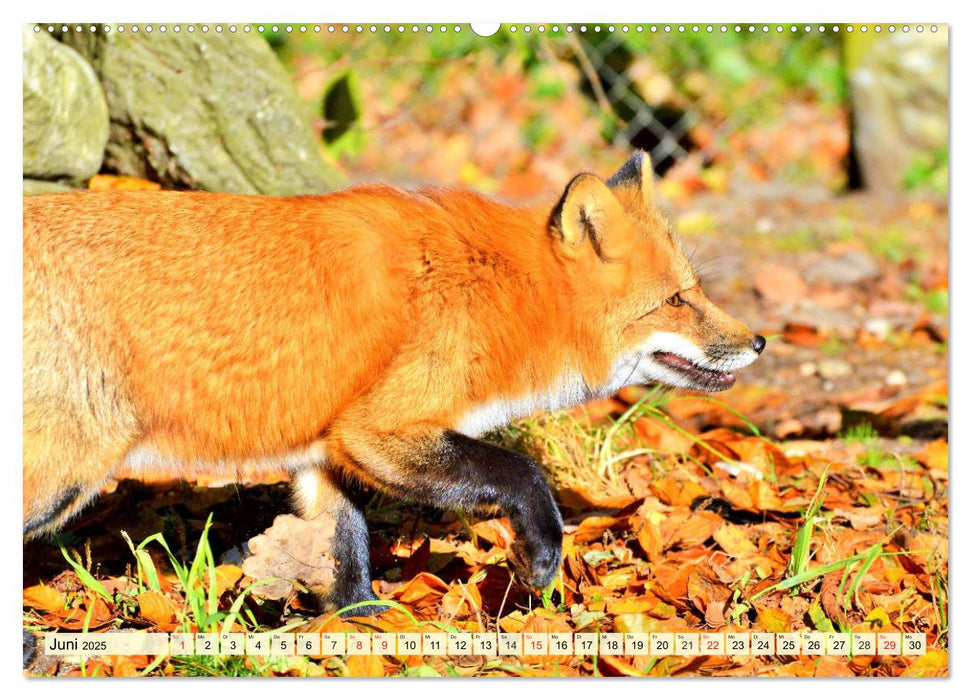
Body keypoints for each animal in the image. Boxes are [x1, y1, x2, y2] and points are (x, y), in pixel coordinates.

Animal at [22, 153, 764, 612]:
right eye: (676, 301)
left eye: (694, 291)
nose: (757, 341)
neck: (495, 291)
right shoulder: (377, 428)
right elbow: (522, 473)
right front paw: (540, 560)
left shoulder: (329, 447)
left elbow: (344, 540)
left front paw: (361, 620)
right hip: (67, 469)